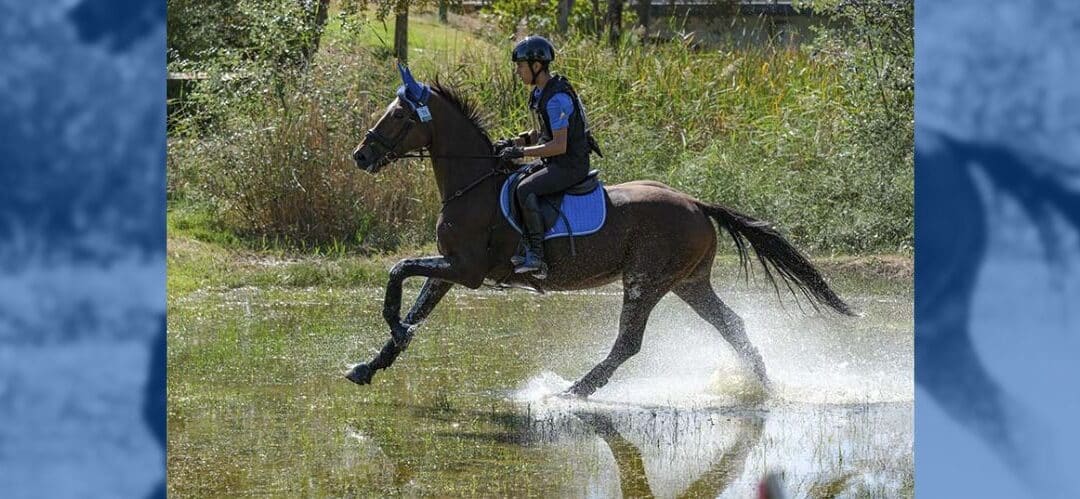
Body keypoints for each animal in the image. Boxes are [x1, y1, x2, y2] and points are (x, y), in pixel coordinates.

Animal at [345, 69, 851, 397]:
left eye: (398, 116)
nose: (360, 156)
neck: (473, 185)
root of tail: (696, 203)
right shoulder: (450, 269)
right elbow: (416, 303)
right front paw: (372, 363)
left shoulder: (465, 270)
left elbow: (397, 272)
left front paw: (396, 328)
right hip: (688, 282)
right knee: (732, 326)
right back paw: (765, 388)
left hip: (646, 280)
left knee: (629, 342)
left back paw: (572, 391)